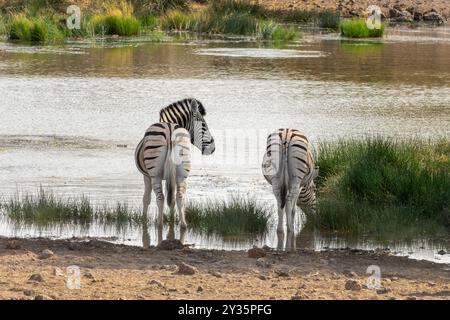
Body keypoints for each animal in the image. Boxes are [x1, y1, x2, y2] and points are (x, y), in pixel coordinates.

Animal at [134, 99, 215, 229]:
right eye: (203, 125)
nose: (213, 148)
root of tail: (170, 130)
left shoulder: (146, 175)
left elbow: (146, 199)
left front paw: (144, 220)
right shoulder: (169, 176)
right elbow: (171, 200)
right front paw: (171, 220)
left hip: (155, 174)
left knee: (160, 197)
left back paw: (159, 224)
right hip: (182, 173)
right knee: (179, 197)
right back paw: (183, 225)